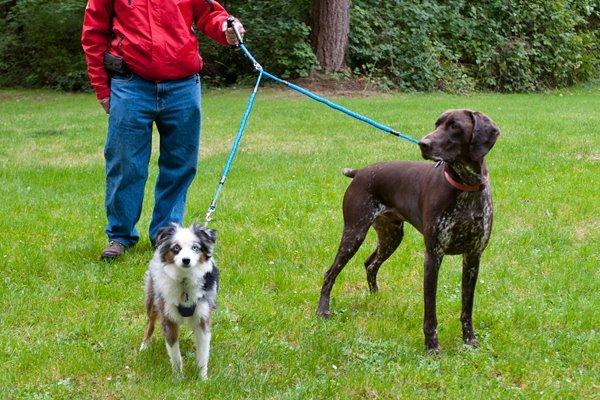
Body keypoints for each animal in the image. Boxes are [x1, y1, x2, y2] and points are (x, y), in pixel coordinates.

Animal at [140, 223, 218, 380]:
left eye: (195, 247)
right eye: (176, 248)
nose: (186, 260)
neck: (184, 282)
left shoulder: (203, 318)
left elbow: (203, 354)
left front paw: (203, 378)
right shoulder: (168, 319)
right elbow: (175, 355)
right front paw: (178, 379)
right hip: (152, 299)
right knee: (150, 323)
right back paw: (144, 345)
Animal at [316, 108, 500, 354]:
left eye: (455, 126)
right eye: (437, 124)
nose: (423, 143)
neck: (465, 188)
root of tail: (360, 172)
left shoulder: (472, 257)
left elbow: (466, 308)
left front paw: (469, 340)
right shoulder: (433, 256)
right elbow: (430, 313)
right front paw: (432, 347)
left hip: (391, 237)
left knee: (370, 263)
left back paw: (376, 297)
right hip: (354, 233)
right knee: (330, 273)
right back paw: (323, 310)